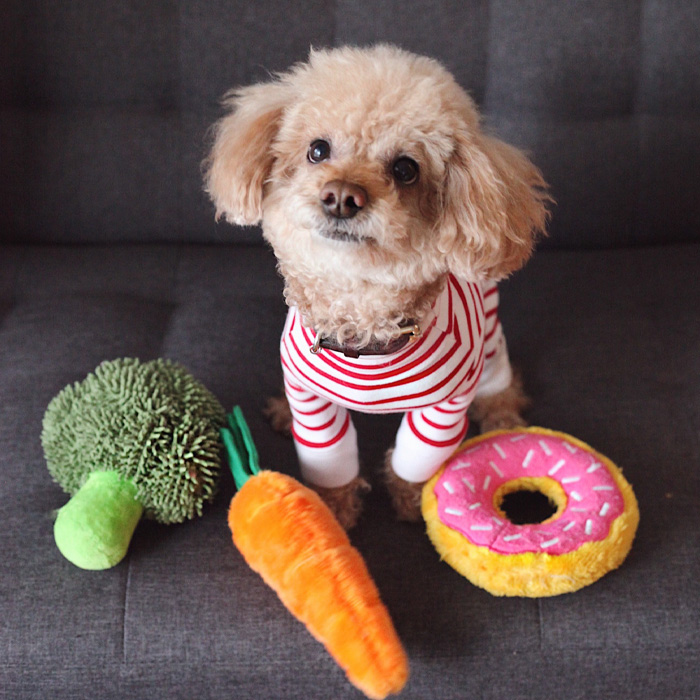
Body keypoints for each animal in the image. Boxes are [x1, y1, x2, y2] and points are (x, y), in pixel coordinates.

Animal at [205, 45, 548, 524]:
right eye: (317, 150)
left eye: (406, 169)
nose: (341, 196)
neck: (361, 321)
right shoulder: (311, 401)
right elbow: (330, 462)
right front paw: (329, 512)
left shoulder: (443, 409)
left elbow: (414, 458)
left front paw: (412, 501)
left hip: (491, 340)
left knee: (501, 382)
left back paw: (502, 416)